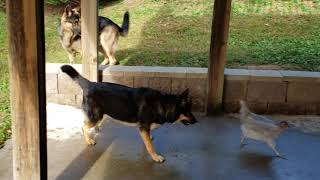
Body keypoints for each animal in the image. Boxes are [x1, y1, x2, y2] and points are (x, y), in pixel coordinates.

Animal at [60, 65, 198, 163]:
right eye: (188, 111)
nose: (196, 121)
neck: (163, 104)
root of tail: (90, 84)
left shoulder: (145, 128)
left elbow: (148, 139)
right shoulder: (143, 127)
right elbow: (150, 146)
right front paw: (155, 157)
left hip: (101, 114)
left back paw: (97, 129)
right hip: (96, 116)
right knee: (83, 126)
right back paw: (89, 140)